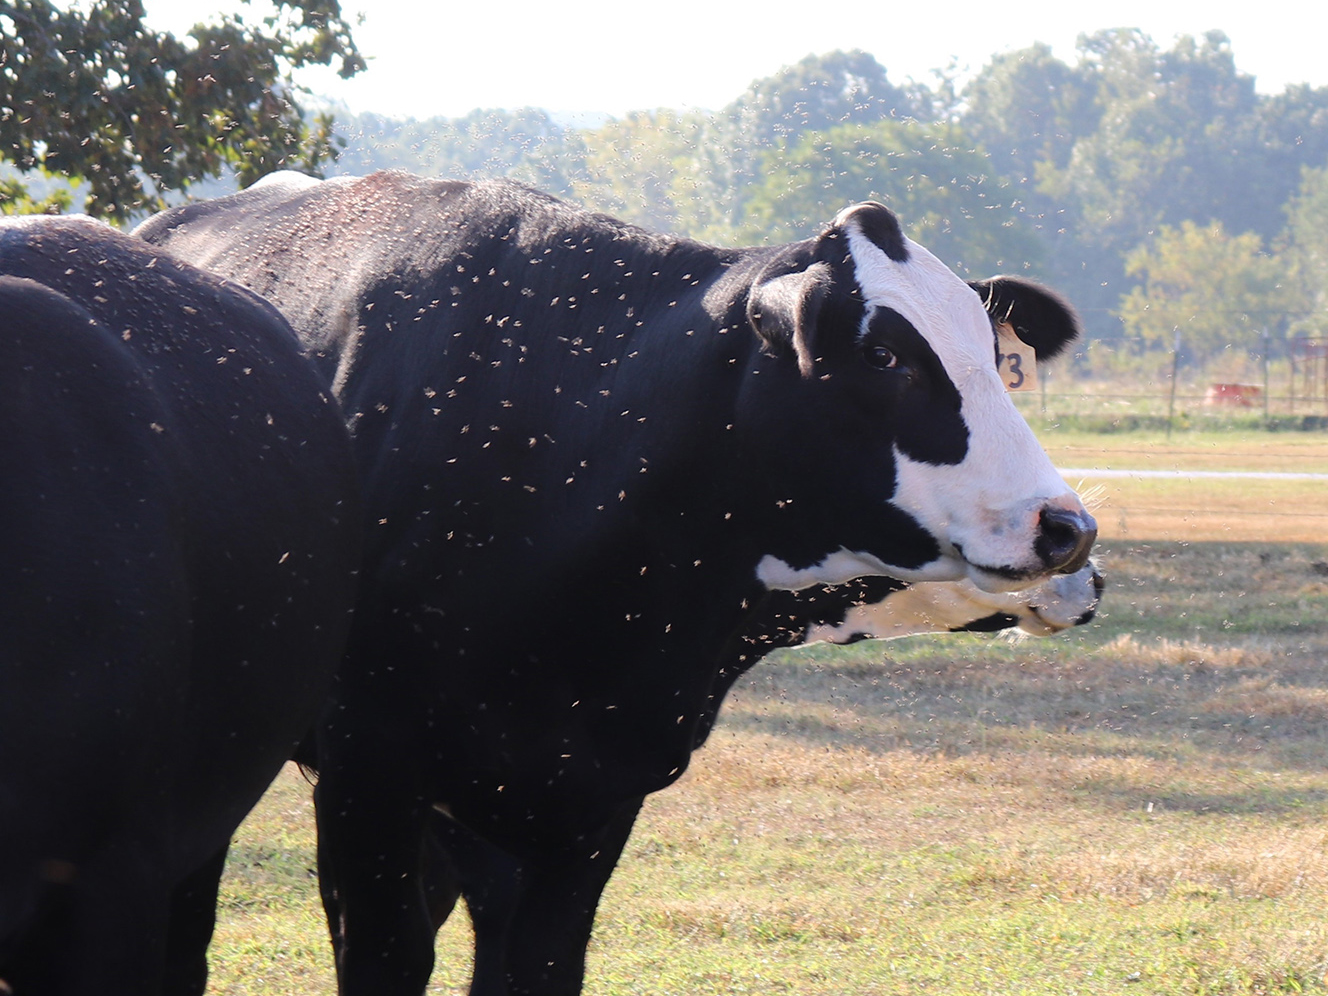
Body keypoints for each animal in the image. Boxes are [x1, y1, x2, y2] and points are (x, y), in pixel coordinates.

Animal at [134, 173, 1094, 996]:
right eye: (886, 356)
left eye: (999, 360)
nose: (1069, 530)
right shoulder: (369, 768)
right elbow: (386, 956)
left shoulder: (595, 793)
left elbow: (538, 965)